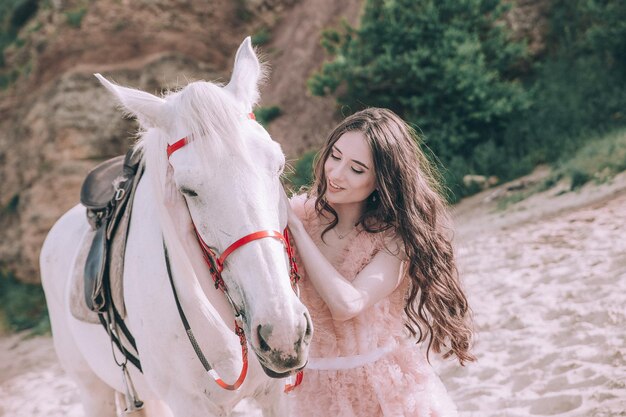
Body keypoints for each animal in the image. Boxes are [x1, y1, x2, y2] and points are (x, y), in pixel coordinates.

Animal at [40, 36, 310, 416]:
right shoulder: (189, 403)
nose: (283, 333)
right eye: (188, 190)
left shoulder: (278, 395)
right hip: (92, 390)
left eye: (279, 165)